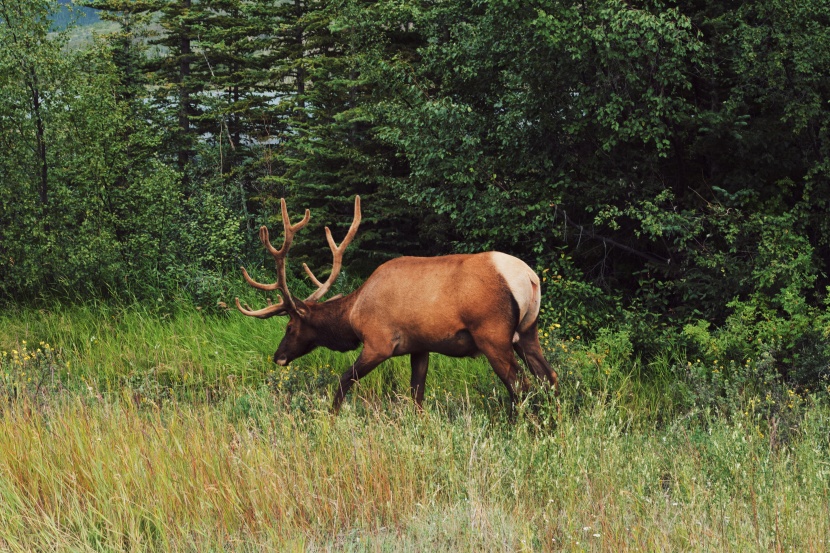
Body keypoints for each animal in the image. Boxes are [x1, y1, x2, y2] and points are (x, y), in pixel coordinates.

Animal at [234, 195, 560, 410]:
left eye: (289, 327)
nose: (278, 356)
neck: (351, 316)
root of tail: (530, 278)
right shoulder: (420, 346)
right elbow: (417, 395)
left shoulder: (379, 343)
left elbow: (342, 383)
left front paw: (331, 417)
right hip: (527, 331)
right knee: (550, 378)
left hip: (493, 334)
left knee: (521, 386)